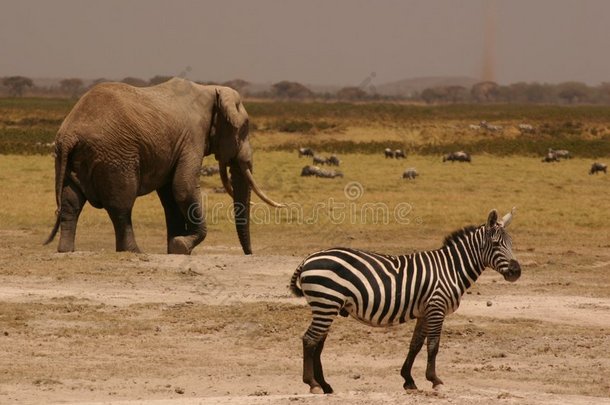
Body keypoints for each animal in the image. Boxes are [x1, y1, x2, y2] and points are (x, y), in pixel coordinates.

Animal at [45, 77, 282, 254]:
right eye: (244, 129)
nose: (250, 254)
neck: (210, 90)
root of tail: (70, 133)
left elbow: (170, 197)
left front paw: (175, 249)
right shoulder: (192, 137)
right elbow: (183, 188)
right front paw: (182, 246)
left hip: (69, 158)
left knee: (70, 202)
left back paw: (66, 250)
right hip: (115, 157)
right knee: (121, 205)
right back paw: (134, 251)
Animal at [288, 208, 516, 392]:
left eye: (512, 244)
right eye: (496, 244)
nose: (517, 271)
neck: (451, 269)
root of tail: (308, 258)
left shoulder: (425, 311)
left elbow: (415, 344)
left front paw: (409, 380)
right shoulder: (437, 306)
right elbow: (433, 345)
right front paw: (435, 380)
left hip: (328, 305)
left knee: (318, 342)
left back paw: (325, 385)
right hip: (326, 303)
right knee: (309, 339)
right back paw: (313, 384)